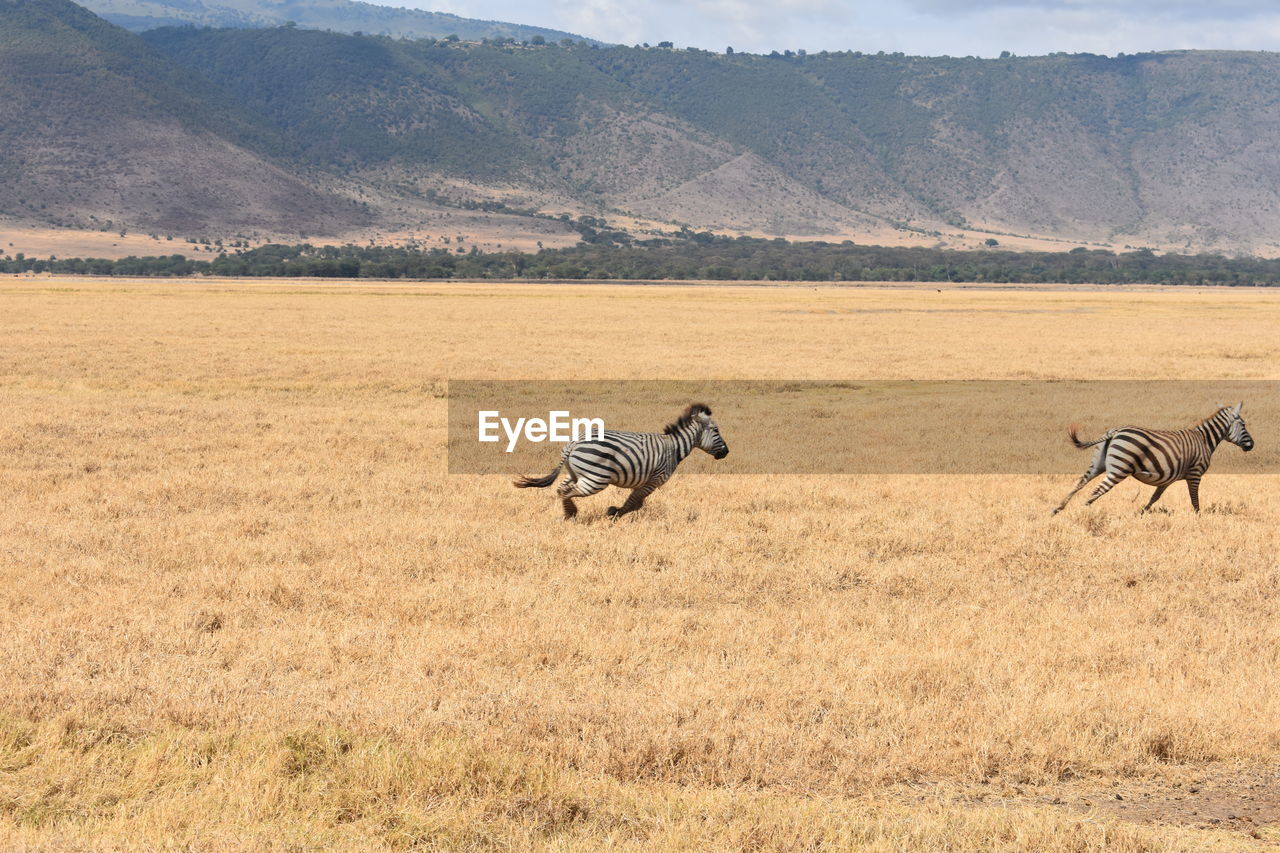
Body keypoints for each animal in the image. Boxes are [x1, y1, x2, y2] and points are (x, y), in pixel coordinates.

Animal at [512, 399, 732, 514]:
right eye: (716, 430)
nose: (726, 452)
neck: (675, 447)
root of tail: (574, 442)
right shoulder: (655, 479)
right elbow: (634, 501)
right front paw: (614, 512)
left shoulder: (644, 481)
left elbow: (636, 502)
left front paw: (616, 511)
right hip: (596, 478)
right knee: (568, 491)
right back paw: (571, 514)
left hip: (575, 472)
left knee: (561, 488)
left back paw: (568, 513)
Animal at [1054, 399, 1254, 512]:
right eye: (1243, 424)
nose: (1252, 445)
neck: (1205, 440)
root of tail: (1115, 431)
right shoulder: (1195, 474)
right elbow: (1194, 499)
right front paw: (1198, 518)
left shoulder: (1166, 479)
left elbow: (1154, 497)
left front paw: (1142, 513)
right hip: (1119, 468)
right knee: (1097, 490)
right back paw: (1082, 513)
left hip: (1098, 463)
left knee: (1080, 482)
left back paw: (1058, 509)